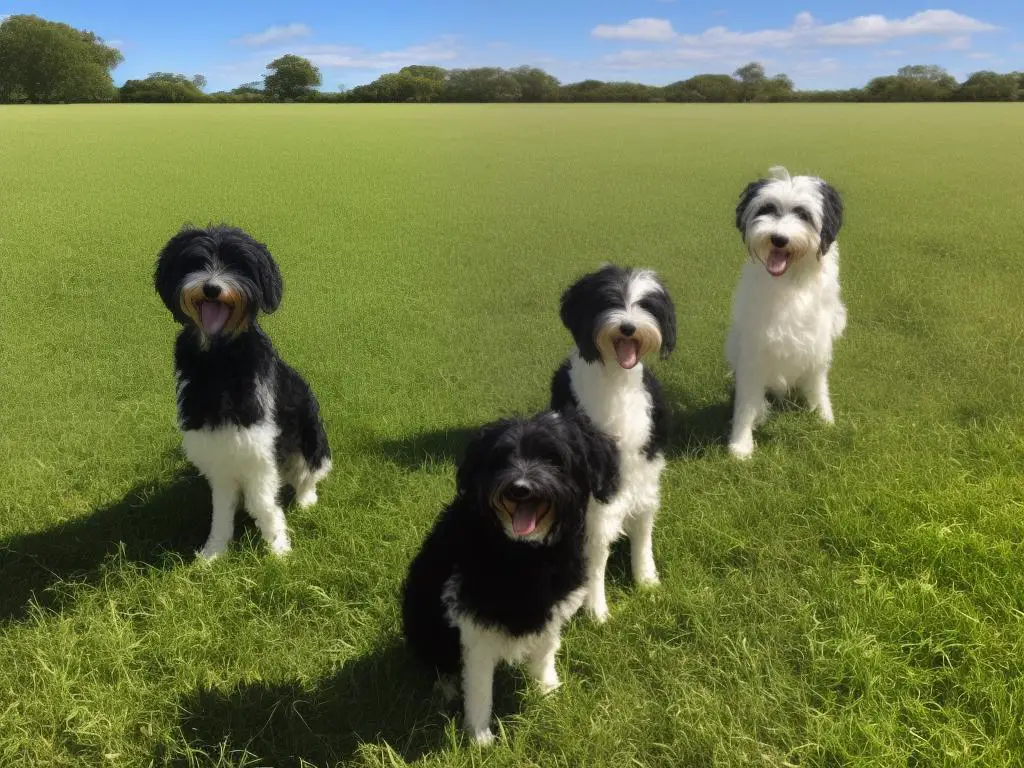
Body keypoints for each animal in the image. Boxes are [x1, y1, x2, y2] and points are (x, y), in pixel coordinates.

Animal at [153, 224, 329, 561]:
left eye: (237, 265)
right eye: (195, 261)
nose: (211, 288)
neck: (218, 361)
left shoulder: (259, 445)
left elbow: (263, 504)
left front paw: (278, 549)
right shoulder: (214, 444)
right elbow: (221, 507)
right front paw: (214, 551)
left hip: (311, 437)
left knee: (310, 472)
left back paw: (306, 500)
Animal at [403, 411, 618, 749]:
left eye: (553, 458)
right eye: (502, 458)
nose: (520, 488)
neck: (523, 553)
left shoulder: (555, 603)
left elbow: (545, 651)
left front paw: (547, 693)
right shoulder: (472, 615)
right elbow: (479, 683)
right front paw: (479, 737)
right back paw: (447, 687)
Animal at [548, 264, 675, 626]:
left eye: (645, 305)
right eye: (608, 301)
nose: (628, 327)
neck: (616, 380)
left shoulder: (646, 472)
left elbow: (643, 530)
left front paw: (646, 581)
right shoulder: (597, 498)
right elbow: (596, 553)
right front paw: (596, 611)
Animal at [729, 165, 847, 460]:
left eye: (803, 214)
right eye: (767, 209)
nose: (779, 239)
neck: (790, 281)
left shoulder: (817, 343)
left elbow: (818, 385)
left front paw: (824, 419)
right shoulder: (755, 348)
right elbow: (747, 401)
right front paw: (741, 444)